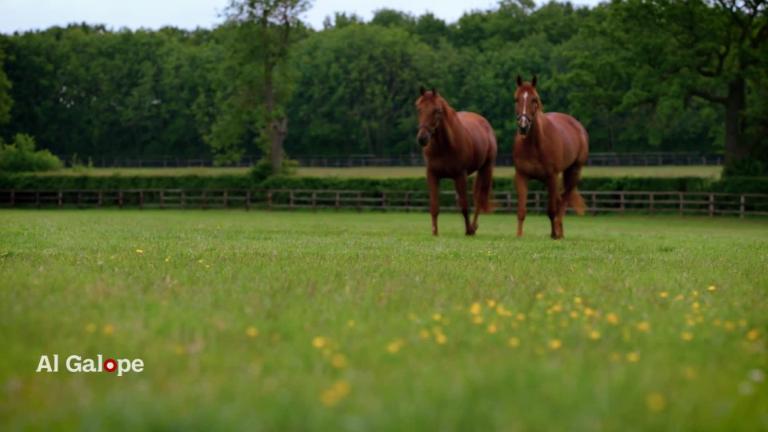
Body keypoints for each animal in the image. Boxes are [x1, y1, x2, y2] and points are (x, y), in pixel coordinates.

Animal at [416, 88, 496, 236]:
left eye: (437, 110)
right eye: (419, 108)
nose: (422, 138)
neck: (444, 146)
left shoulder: (460, 175)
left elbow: (464, 205)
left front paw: (468, 230)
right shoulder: (432, 175)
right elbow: (434, 206)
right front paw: (435, 233)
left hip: (486, 169)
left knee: (479, 198)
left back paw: (473, 227)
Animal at [512, 77, 592, 240]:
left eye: (534, 100)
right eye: (516, 99)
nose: (523, 126)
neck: (534, 145)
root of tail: (577, 126)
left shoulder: (552, 176)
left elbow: (551, 210)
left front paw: (554, 234)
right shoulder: (521, 176)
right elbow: (521, 210)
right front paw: (519, 235)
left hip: (573, 173)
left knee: (563, 202)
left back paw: (558, 232)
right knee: (559, 200)